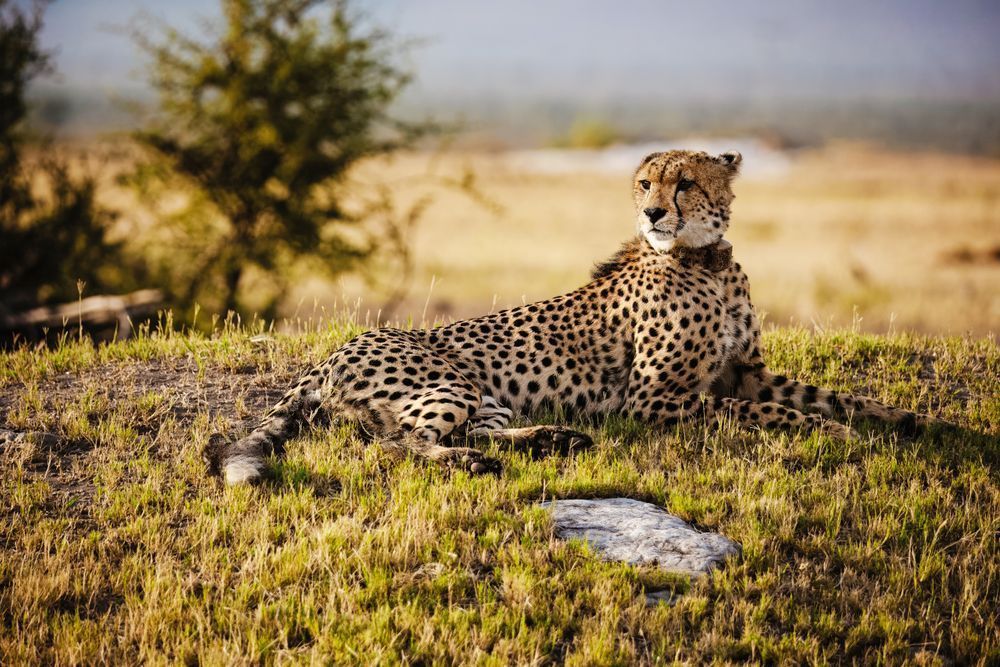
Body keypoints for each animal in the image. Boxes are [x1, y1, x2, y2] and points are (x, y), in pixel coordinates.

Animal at [211, 149, 944, 485]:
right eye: (645, 182)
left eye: (685, 182)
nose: (651, 211)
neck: (705, 259)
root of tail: (330, 354)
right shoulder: (655, 399)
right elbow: (757, 412)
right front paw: (835, 435)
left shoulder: (747, 371)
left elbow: (830, 395)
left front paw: (911, 421)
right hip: (447, 382)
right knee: (397, 444)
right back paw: (473, 461)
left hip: (484, 395)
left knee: (472, 430)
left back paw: (554, 439)